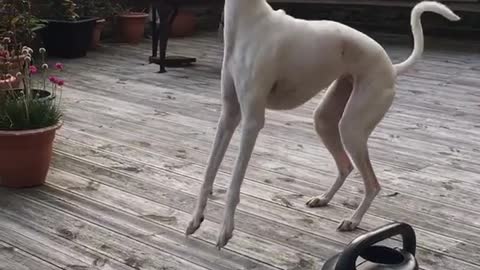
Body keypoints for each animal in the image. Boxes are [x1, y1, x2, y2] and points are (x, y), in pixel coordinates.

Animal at [185, 0, 462, 249]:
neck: (251, 22)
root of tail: (391, 67)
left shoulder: (252, 121)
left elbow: (234, 184)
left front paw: (225, 230)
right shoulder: (228, 117)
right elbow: (209, 172)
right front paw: (196, 219)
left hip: (352, 127)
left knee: (372, 184)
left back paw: (353, 220)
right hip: (325, 120)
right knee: (345, 165)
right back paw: (324, 199)